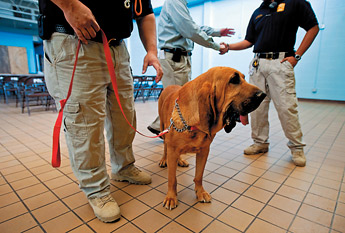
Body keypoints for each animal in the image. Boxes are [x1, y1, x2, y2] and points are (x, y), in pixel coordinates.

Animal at [159, 66, 266, 209]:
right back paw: (164, 160)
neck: (195, 124)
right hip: (162, 128)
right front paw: (171, 197)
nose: (263, 95)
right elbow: (172, 179)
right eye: (234, 80)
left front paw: (200, 193)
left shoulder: (204, 151)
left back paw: (180, 160)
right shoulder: (173, 149)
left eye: (244, 77)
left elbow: (199, 176)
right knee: (165, 147)